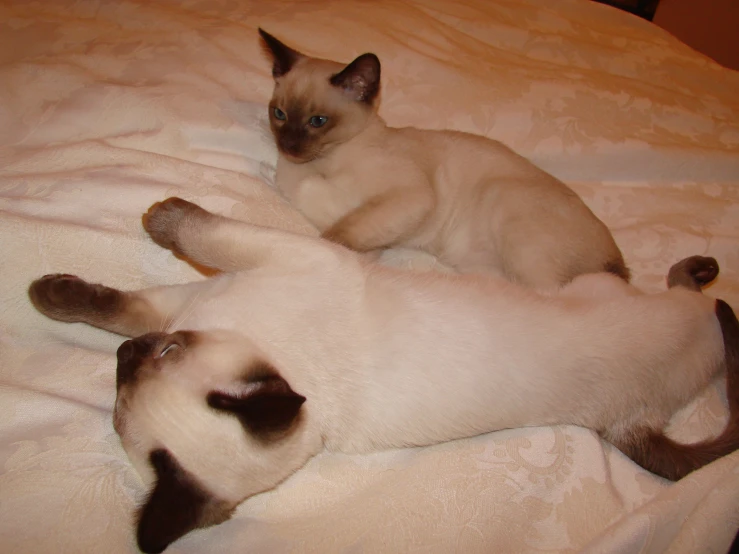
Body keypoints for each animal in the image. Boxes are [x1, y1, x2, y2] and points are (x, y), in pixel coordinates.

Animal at [27, 196, 739, 548]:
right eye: (129, 376)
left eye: (166, 356)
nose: (126, 357)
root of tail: (630, 423)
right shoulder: (183, 304)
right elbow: (112, 307)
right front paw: (48, 295)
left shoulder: (264, 265)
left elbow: (196, 236)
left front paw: (156, 218)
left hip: (607, 291)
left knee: (693, 296)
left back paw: (703, 271)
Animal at [258, 29, 632, 288]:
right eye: (279, 114)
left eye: (317, 121)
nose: (288, 146)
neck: (326, 159)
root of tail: (618, 262)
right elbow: (320, 203)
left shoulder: (408, 198)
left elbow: (336, 233)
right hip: (483, 264)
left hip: (506, 202)